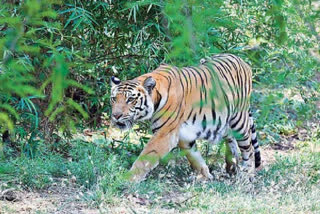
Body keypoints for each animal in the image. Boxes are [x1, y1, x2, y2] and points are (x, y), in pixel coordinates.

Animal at [111, 53, 262, 182]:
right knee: (231, 140)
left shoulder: (164, 133)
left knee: (248, 148)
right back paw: (231, 167)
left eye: (130, 99)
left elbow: (145, 157)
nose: (116, 115)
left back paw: (246, 175)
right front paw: (204, 175)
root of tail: (242, 61)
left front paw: (128, 179)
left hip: (239, 121)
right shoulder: (183, 135)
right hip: (224, 121)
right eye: (113, 99)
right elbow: (194, 156)